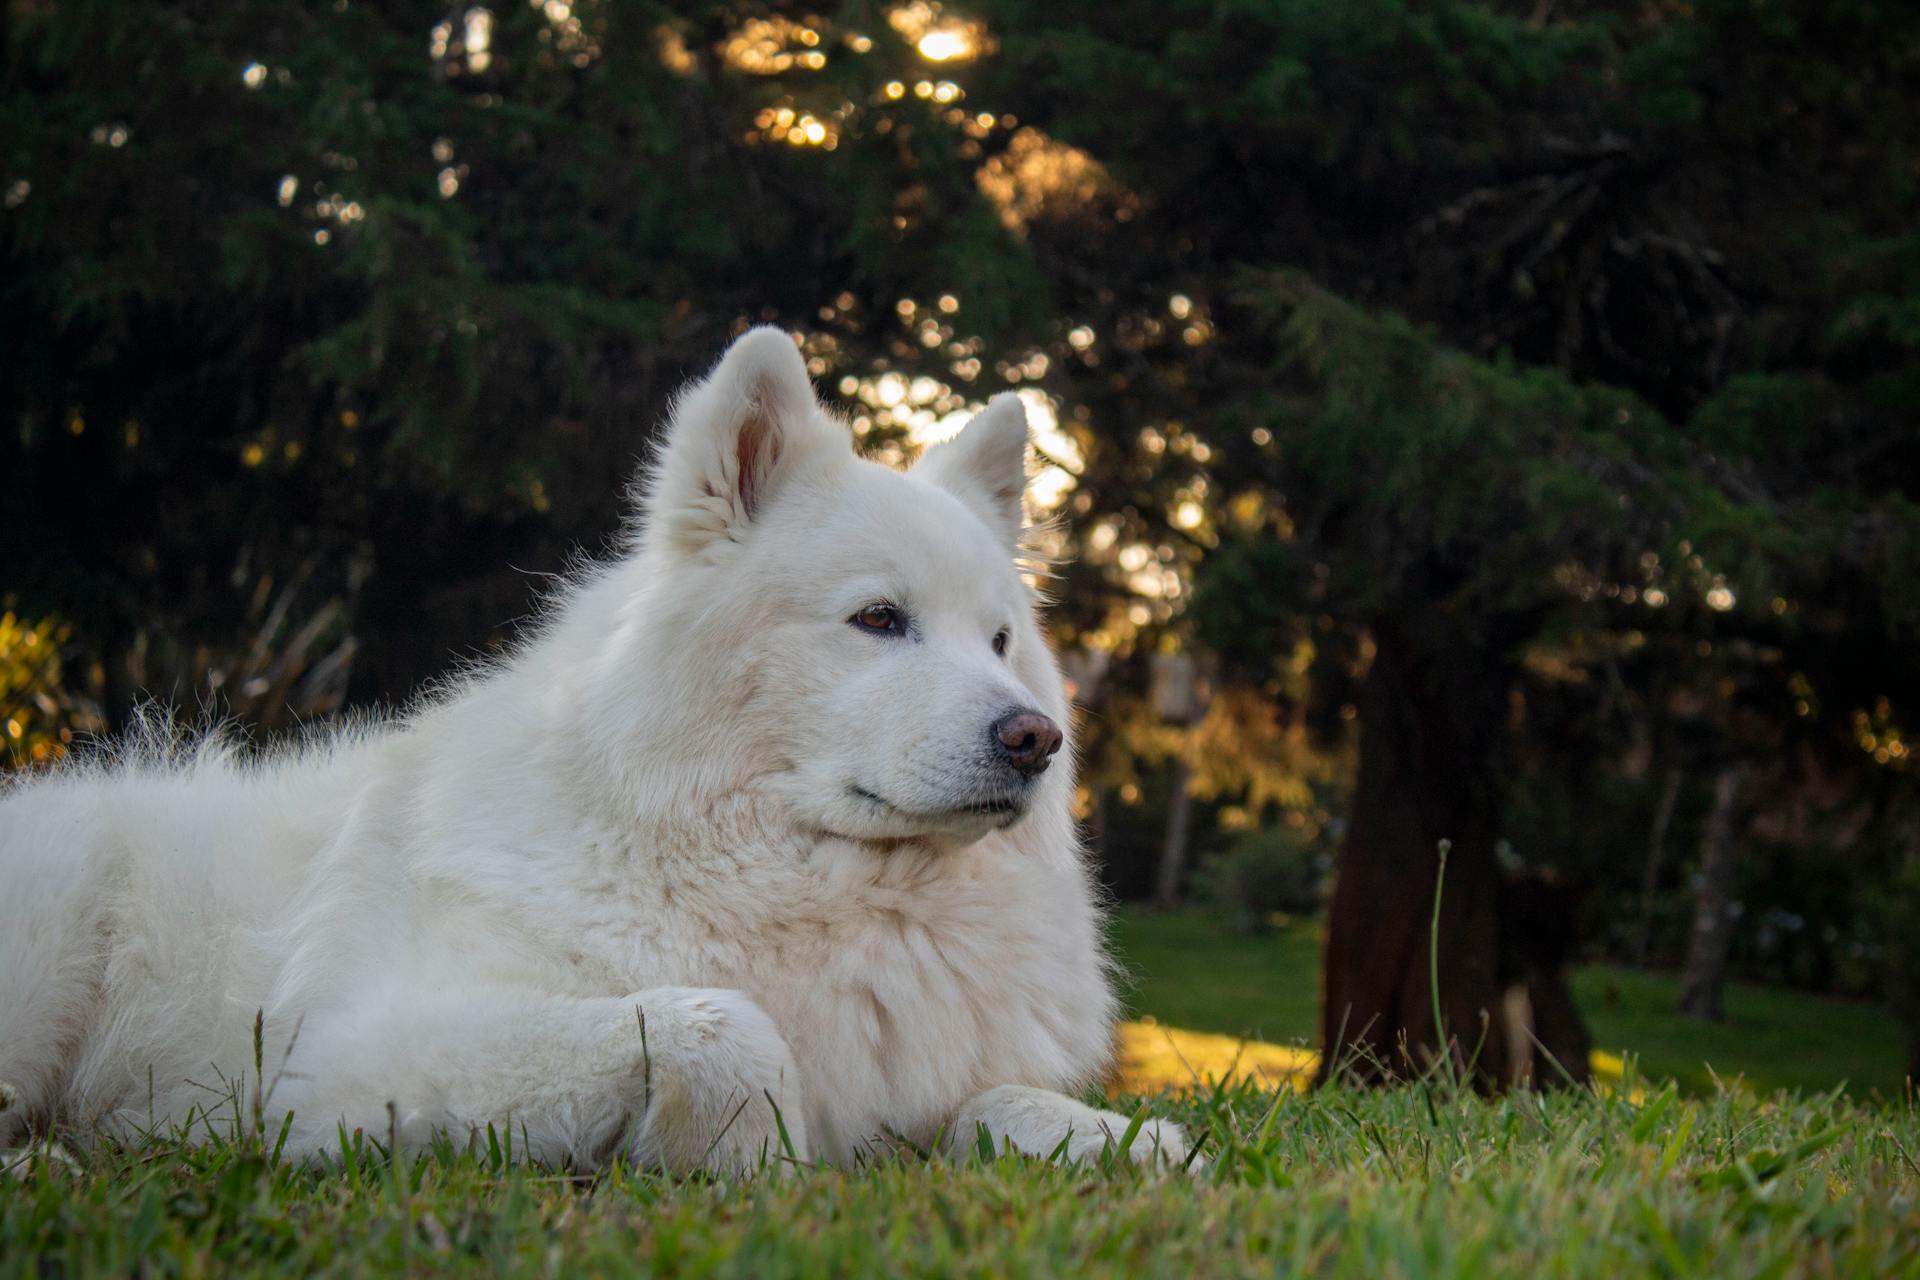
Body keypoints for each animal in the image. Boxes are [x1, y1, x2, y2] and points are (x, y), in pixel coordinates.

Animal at [0, 333, 1190, 1182]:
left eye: (998, 642)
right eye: (878, 619)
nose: (1035, 739)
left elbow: (998, 1101)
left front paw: (1124, 1143)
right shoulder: (335, 1065)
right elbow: (724, 1025)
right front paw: (746, 1156)